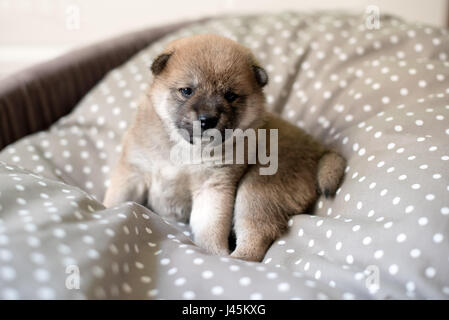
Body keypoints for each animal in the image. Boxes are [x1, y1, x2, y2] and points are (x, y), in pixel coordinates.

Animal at [103, 33, 344, 262]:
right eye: (187, 91)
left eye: (230, 96)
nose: (208, 119)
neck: (184, 149)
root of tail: (318, 149)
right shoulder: (134, 172)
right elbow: (117, 200)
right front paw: (104, 211)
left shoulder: (213, 187)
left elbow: (210, 229)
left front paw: (213, 255)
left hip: (256, 190)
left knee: (255, 238)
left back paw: (235, 259)